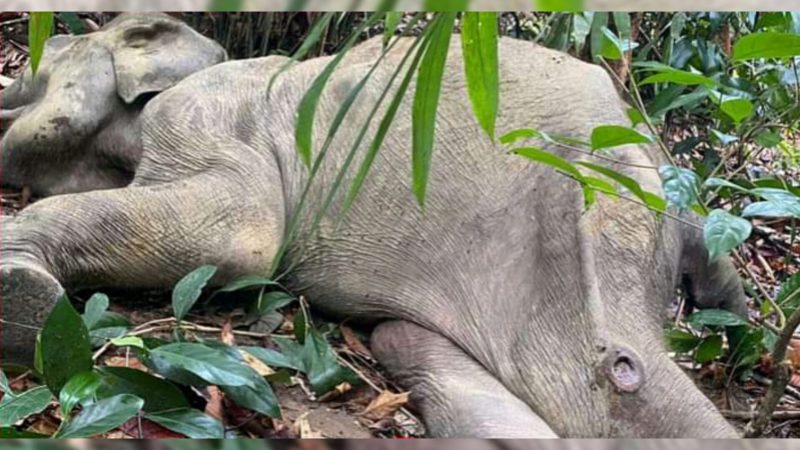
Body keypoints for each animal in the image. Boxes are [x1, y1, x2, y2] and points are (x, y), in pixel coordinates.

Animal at [0, 13, 752, 436]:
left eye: (41, 58)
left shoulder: (205, 115)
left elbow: (242, 237)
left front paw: (17, 285)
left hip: (586, 207)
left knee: (610, 371)